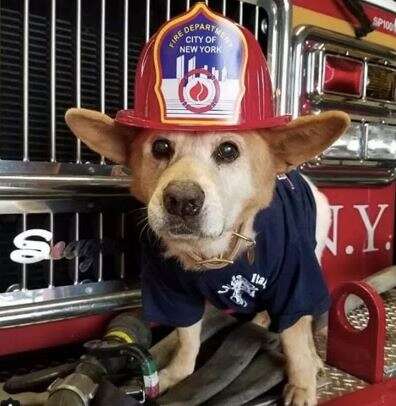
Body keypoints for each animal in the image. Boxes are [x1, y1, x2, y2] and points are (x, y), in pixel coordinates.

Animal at [66, 108, 352, 406]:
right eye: (160, 147)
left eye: (228, 150)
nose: (181, 200)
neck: (212, 254)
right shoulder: (175, 295)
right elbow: (188, 341)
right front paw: (175, 374)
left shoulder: (294, 285)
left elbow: (295, 341)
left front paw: (302, 384)